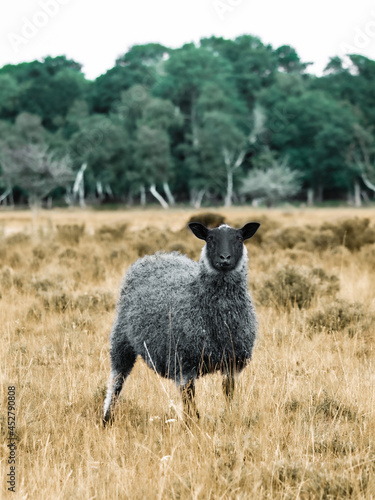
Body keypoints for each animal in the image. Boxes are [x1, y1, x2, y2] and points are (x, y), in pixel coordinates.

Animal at [103, 221, 262, 424]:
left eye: (239, 238)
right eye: (210, 238)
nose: (225, 258)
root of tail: (158, 255)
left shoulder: (232, 362)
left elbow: (228, 394)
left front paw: (229, 417)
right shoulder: (183, 364)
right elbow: (189, 402)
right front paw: (192, 425)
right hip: (121, 340)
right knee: (116, 382)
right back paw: (106, 418)